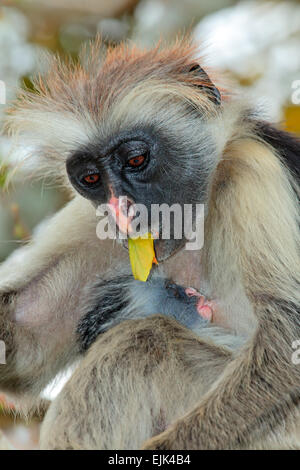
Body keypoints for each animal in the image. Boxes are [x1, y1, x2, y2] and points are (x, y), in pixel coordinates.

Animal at [0, 36, 300, 448]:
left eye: (136, 159)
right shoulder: (98, 224)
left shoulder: (253, 168)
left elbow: (288, 345)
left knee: (141, 338)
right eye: (91, 178)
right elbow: (26, 341)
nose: (120, 209)